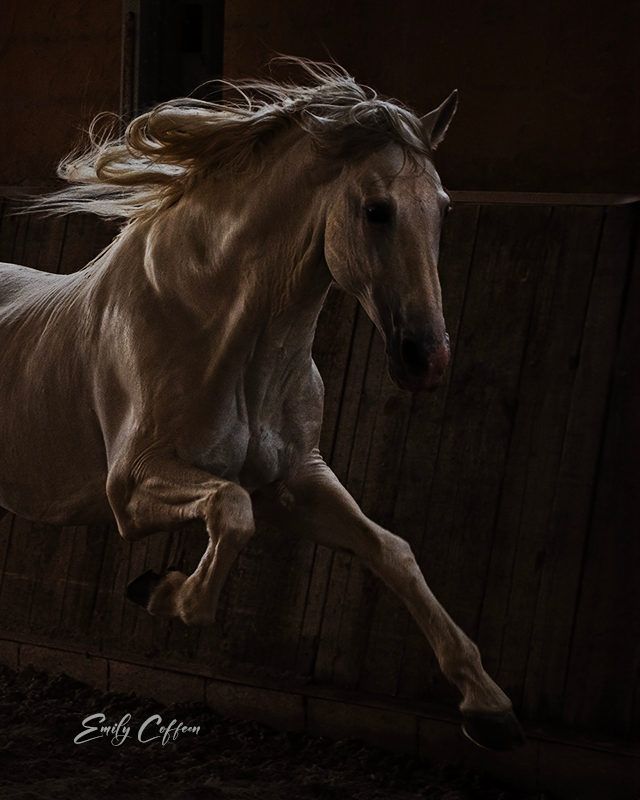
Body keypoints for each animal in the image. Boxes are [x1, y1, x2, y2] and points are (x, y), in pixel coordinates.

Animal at [0, 59, 523, 750]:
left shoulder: (295, 480)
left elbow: (391, 550)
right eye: (376, 210)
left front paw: (488, 706)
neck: (214, 329)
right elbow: (232, 511)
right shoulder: (133, 488)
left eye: (442, 207)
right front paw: (161, 591)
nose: (426, 359)